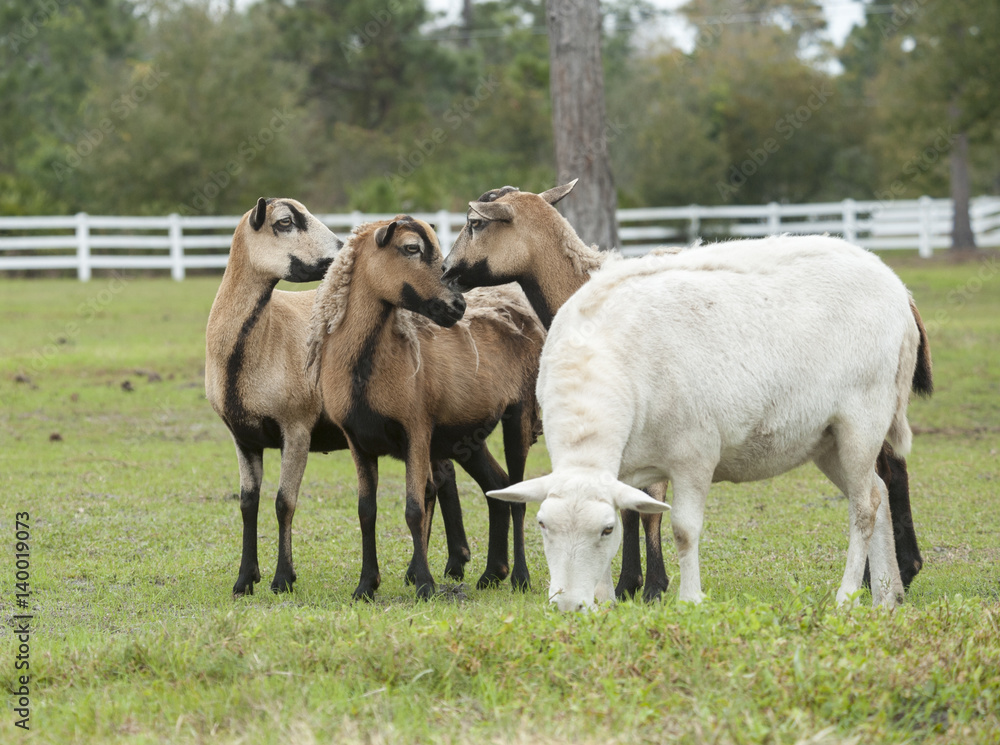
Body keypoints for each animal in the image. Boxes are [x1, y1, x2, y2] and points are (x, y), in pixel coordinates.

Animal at [206, 198, 469, 597]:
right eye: (284, 222)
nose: (340, 251)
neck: (259, 338)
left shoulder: (296, 427)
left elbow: (284, 502)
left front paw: (282, 579)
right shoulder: (243, 436)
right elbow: (248, 504)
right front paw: (244, 580)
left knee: (435, 482)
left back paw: (438, 566)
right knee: (441, 478)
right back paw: (445, 564)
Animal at [305, 215, 546, 600]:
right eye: (411, 248)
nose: (458, 306)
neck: (366, 367)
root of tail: (515, 306)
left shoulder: (415, 431)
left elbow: (414, 508)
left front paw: (424, 584)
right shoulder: (358, 441)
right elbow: (366, 511)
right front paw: (365, 586)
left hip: (518, 414)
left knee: (517, 494)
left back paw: (520, 579)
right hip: (467, 434)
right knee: (497, 485)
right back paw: (491, 574)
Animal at [443, 181, 928, 594]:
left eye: (475, 224)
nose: (445, 272)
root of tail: (902, 291)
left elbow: (647, 509)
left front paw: (646, 584)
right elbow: (631, 504)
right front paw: (633, 582)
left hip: (864, 407)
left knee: (880, 481)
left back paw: (891, 574)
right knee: (890, 473)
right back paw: (895, 576)